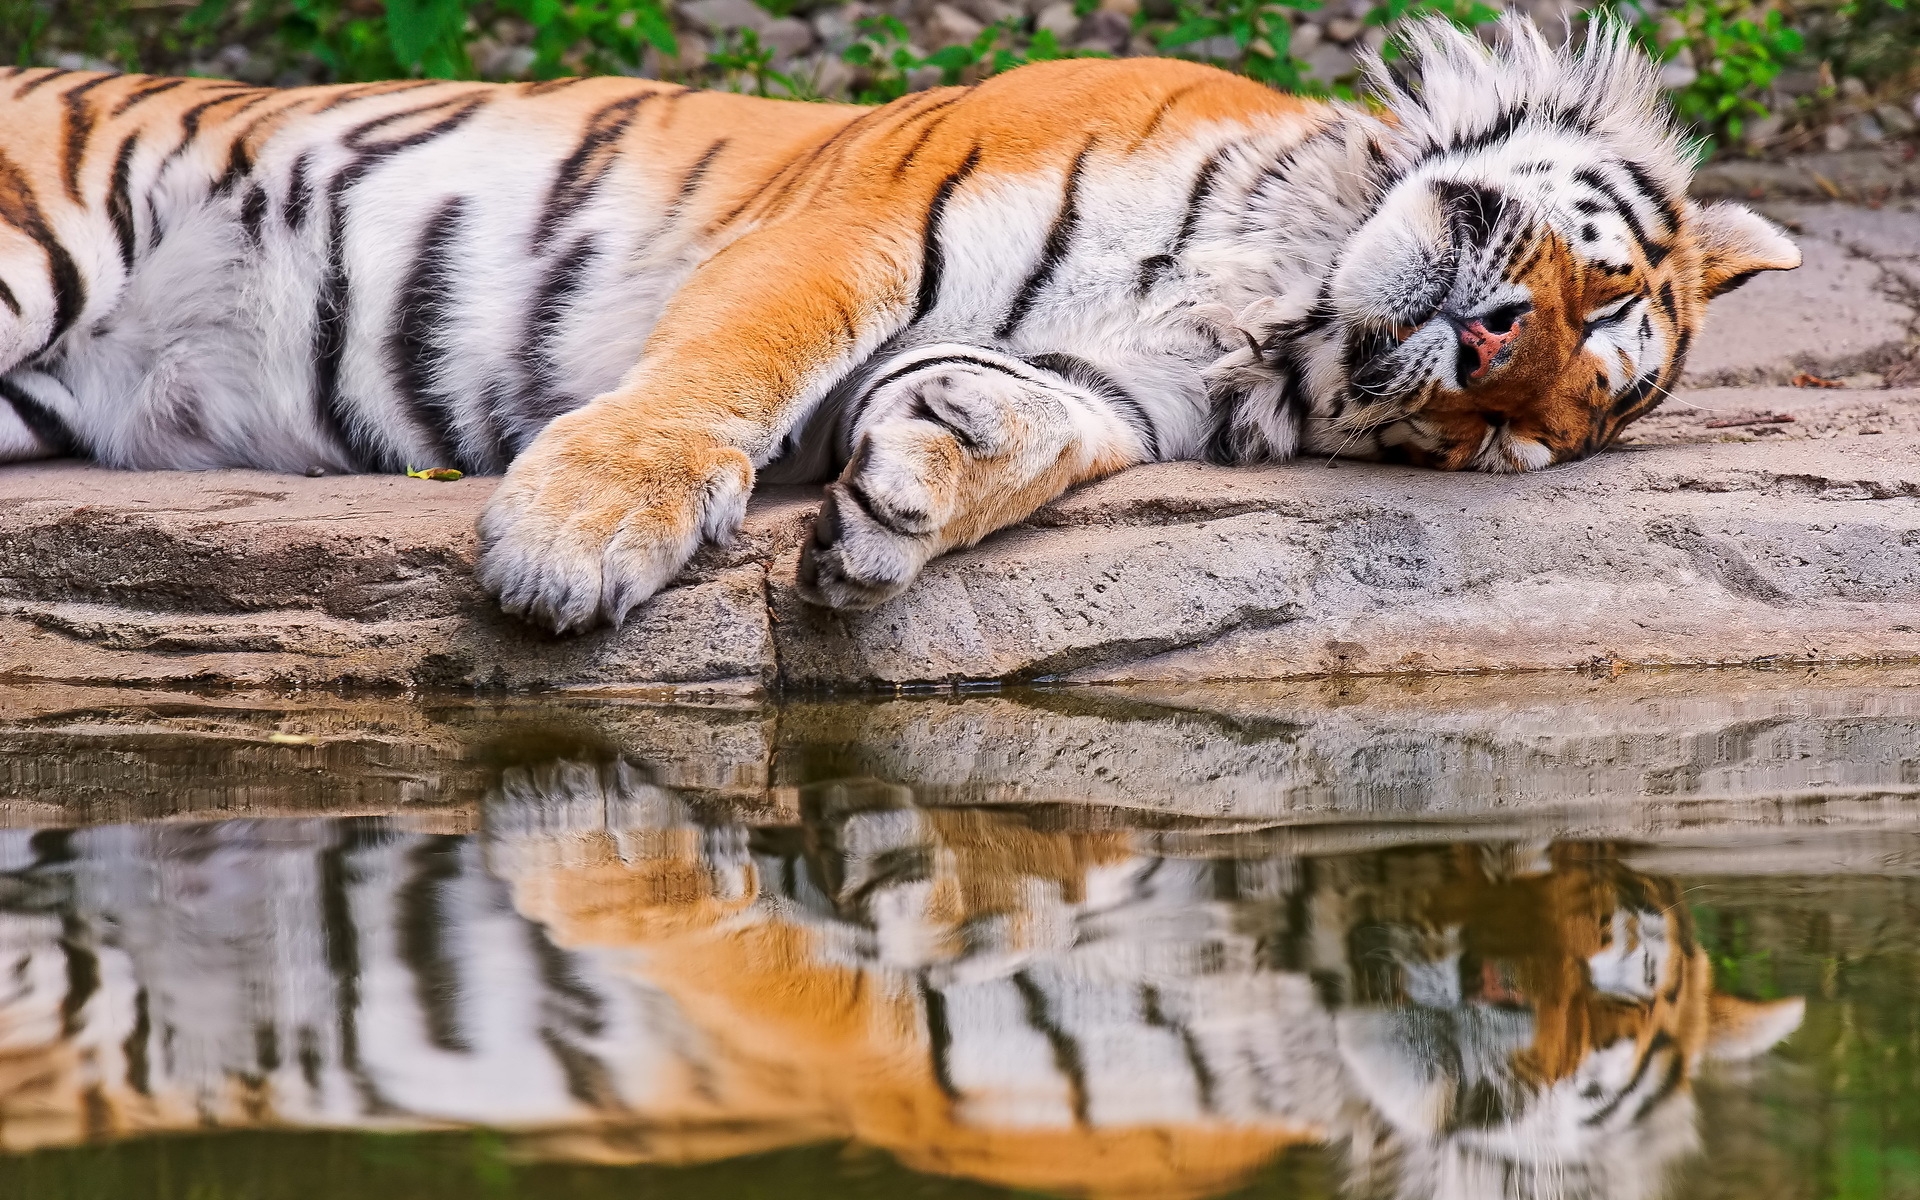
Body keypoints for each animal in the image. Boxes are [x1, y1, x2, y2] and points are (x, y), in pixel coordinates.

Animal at [0, 16, 1797, 625]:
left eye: (1512, 442)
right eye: (1605, 292)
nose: (1493, 361)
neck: (1273, 300)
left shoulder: (1107, 391)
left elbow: (1023, 430)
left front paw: (903, 504)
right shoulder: (858, 221)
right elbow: (726, 371)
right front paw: (577, 540)